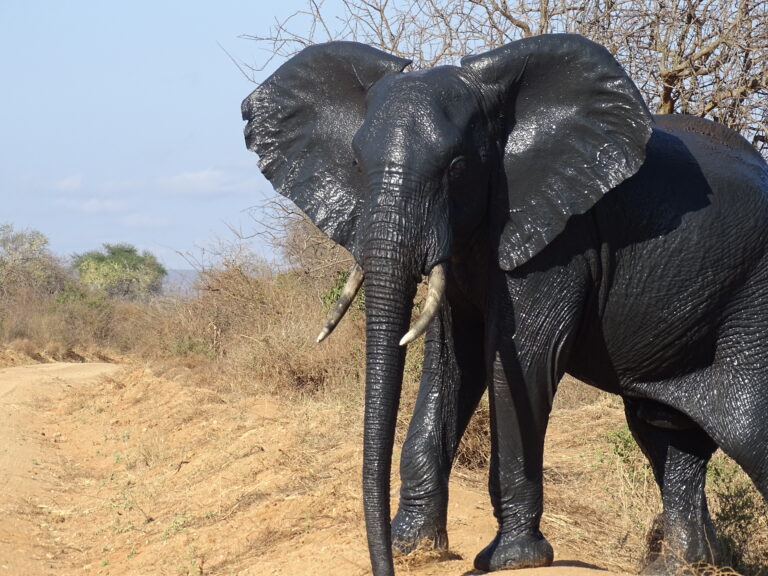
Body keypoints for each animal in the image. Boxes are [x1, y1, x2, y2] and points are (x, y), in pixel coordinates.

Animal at [242, 34, 768, 575]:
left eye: (457, 168)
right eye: (356, 164)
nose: (382, 562)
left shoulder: (562, 238)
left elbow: (518, 358)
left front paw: (512, 558)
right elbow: (451, 362)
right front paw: (415, 547)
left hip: (751, 304)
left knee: (748, 432)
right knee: (667, 434)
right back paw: (678, 568)